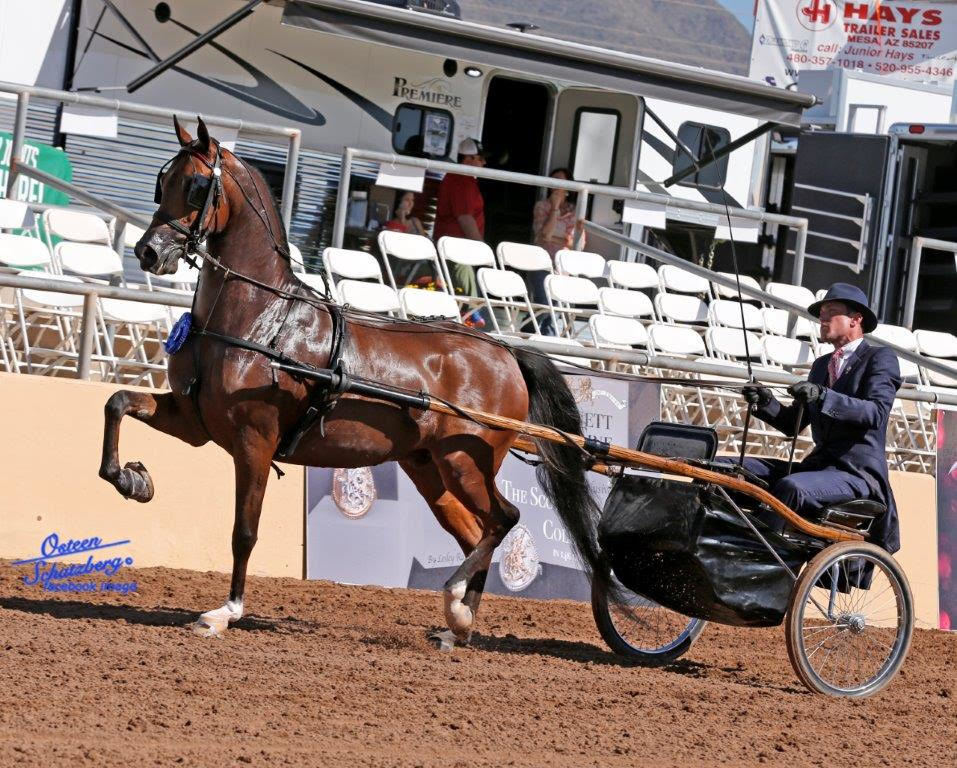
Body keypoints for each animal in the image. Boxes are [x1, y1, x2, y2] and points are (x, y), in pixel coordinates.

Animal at [100, 116, 610, 646]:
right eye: (163, 182)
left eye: (197, 186)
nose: (148, 251)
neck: (261, 316)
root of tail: (505, 352)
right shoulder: (195, 420)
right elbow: (118, 402)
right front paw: (132, 479)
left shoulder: (253, 439)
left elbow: (245, 531)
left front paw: (226, 611)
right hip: (430, 469)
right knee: (477, 532)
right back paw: (459, 625)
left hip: (466, 463)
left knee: (504, 519)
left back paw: (456, 602)